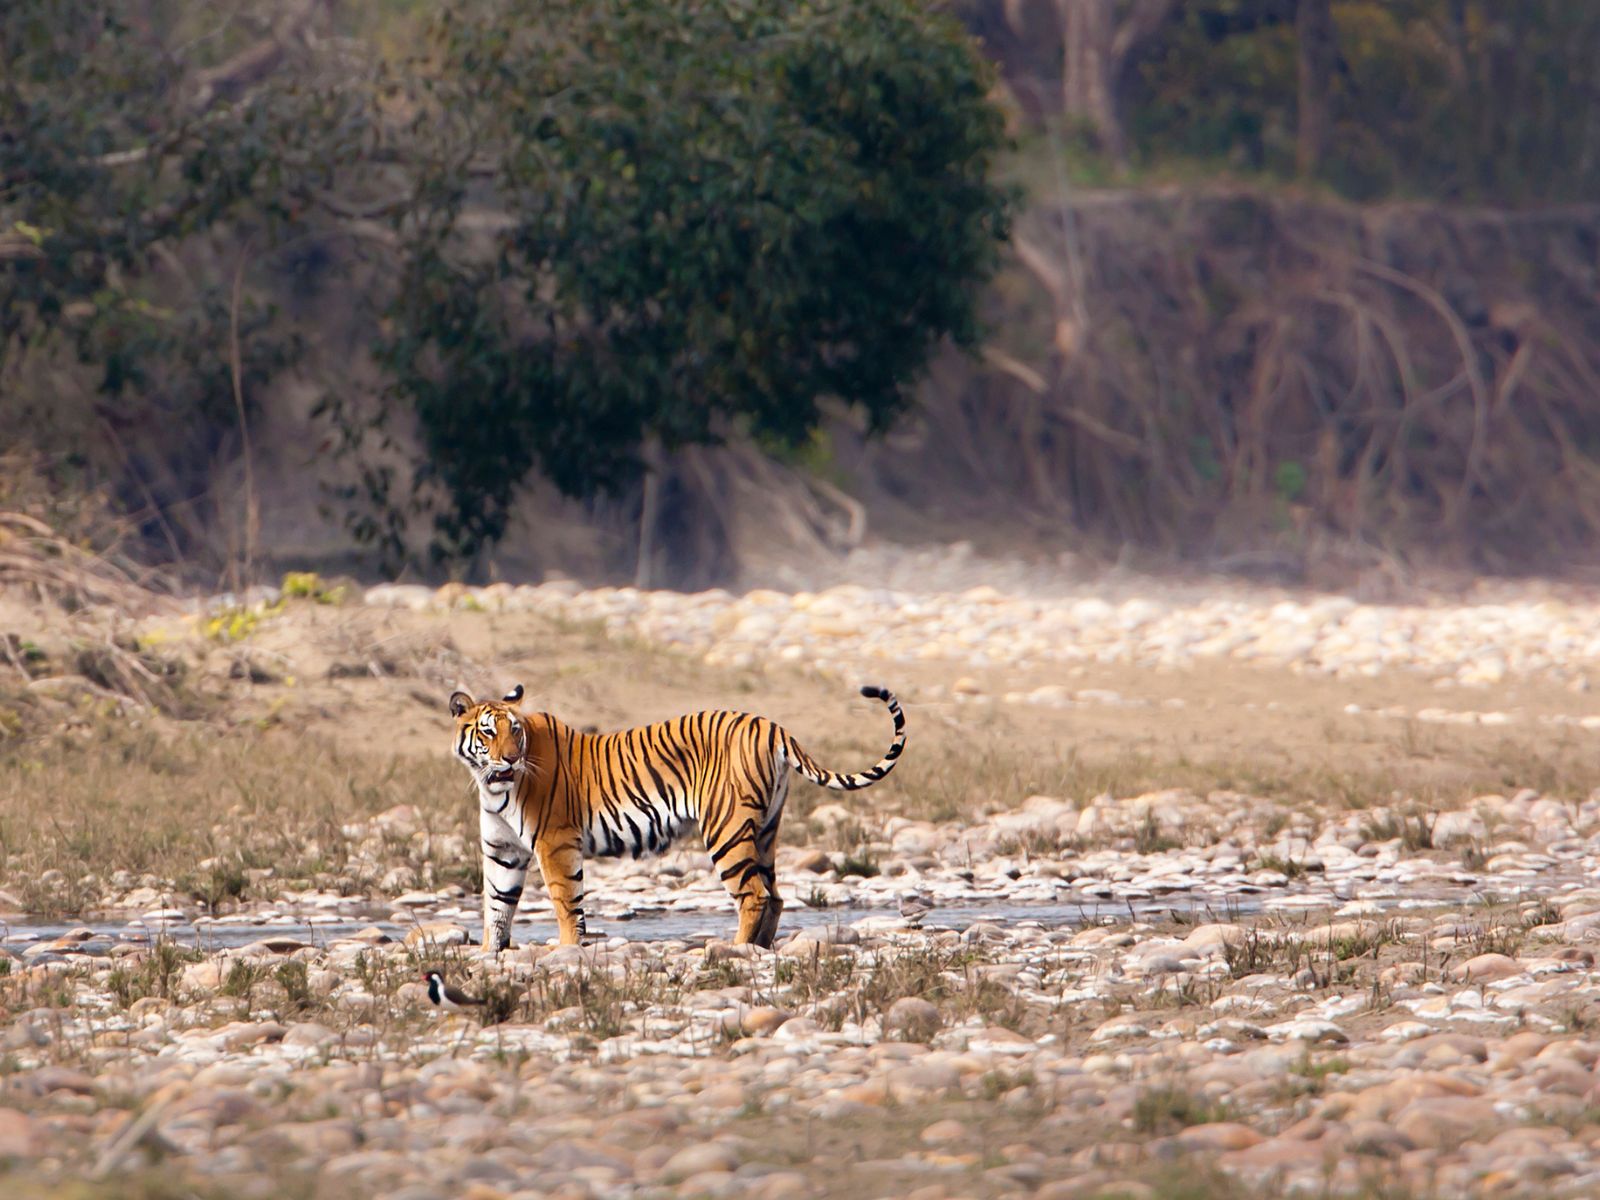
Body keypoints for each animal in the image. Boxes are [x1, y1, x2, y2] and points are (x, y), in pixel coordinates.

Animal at [444, 684, 908, 947]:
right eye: (488, 731)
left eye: (515, 730)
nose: (510, 758)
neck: (492, 786)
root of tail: (771, 725)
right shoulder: (503, 850)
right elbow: (496, 906)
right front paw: (489, 954)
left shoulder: (555, 842)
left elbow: (565, 902)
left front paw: (566, 951)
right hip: (765, 831)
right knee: (774, 895)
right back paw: (759, 949)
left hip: (726, 829)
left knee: (753, 894)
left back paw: (736, 949)